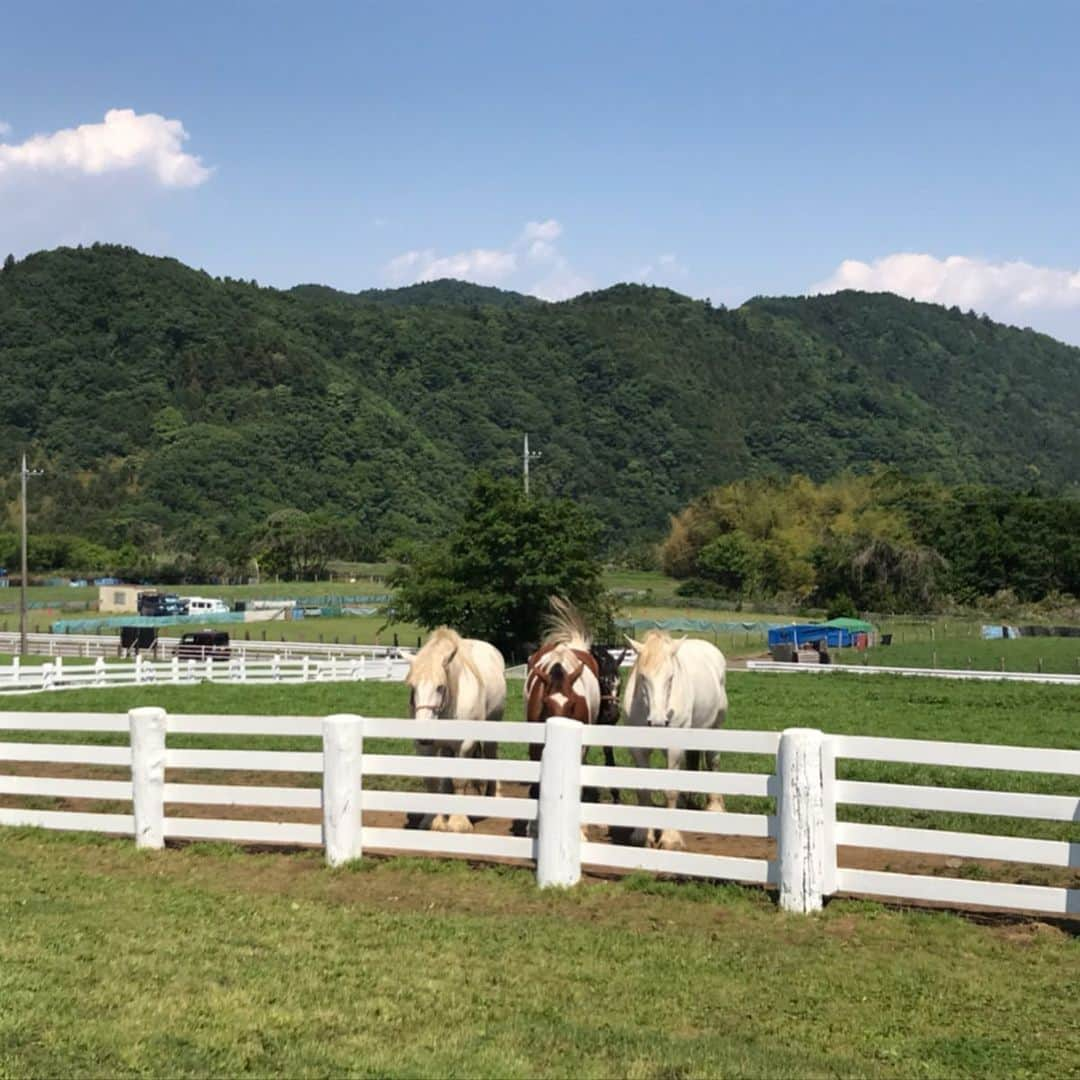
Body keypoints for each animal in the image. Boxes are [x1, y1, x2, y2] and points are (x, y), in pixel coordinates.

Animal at [406, 630, 505, 829]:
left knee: (491, 755)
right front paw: (432, 820)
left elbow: (460, 779)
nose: (423, 734)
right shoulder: (425, 747)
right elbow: (432, 780)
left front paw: (458, 822)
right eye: (413, 687)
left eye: (440, 687)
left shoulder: (466, 744)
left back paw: (493, 795)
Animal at [622, 630, 730, 851]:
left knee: (713, 761)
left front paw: (670, 838)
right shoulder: (637, 750)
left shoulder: (674, 747)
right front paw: (641, 835)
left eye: (670, 678)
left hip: (716, 726)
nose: (657, 722)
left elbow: (670, 790)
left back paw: (714, 806)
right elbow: (643, 790)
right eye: (642, 677)